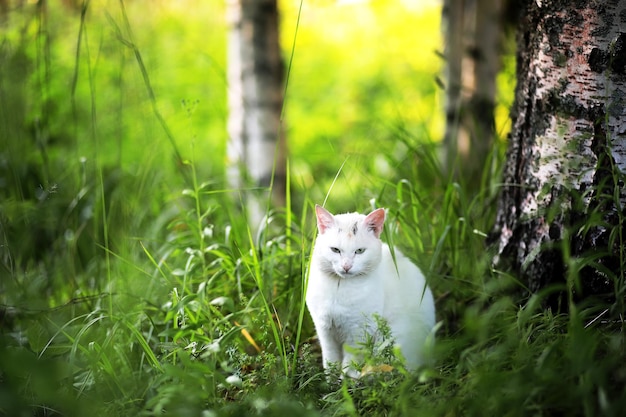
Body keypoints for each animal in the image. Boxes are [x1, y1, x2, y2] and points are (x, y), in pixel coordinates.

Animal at [306, 205, 434, 376]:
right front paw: (330, 381)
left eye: (360, 251)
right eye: (335, 250)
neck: (340, 288)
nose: (346, 266)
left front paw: (346, 381)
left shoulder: (358, 334)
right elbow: (330, 362)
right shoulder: (325, 332)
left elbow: (349, 365)